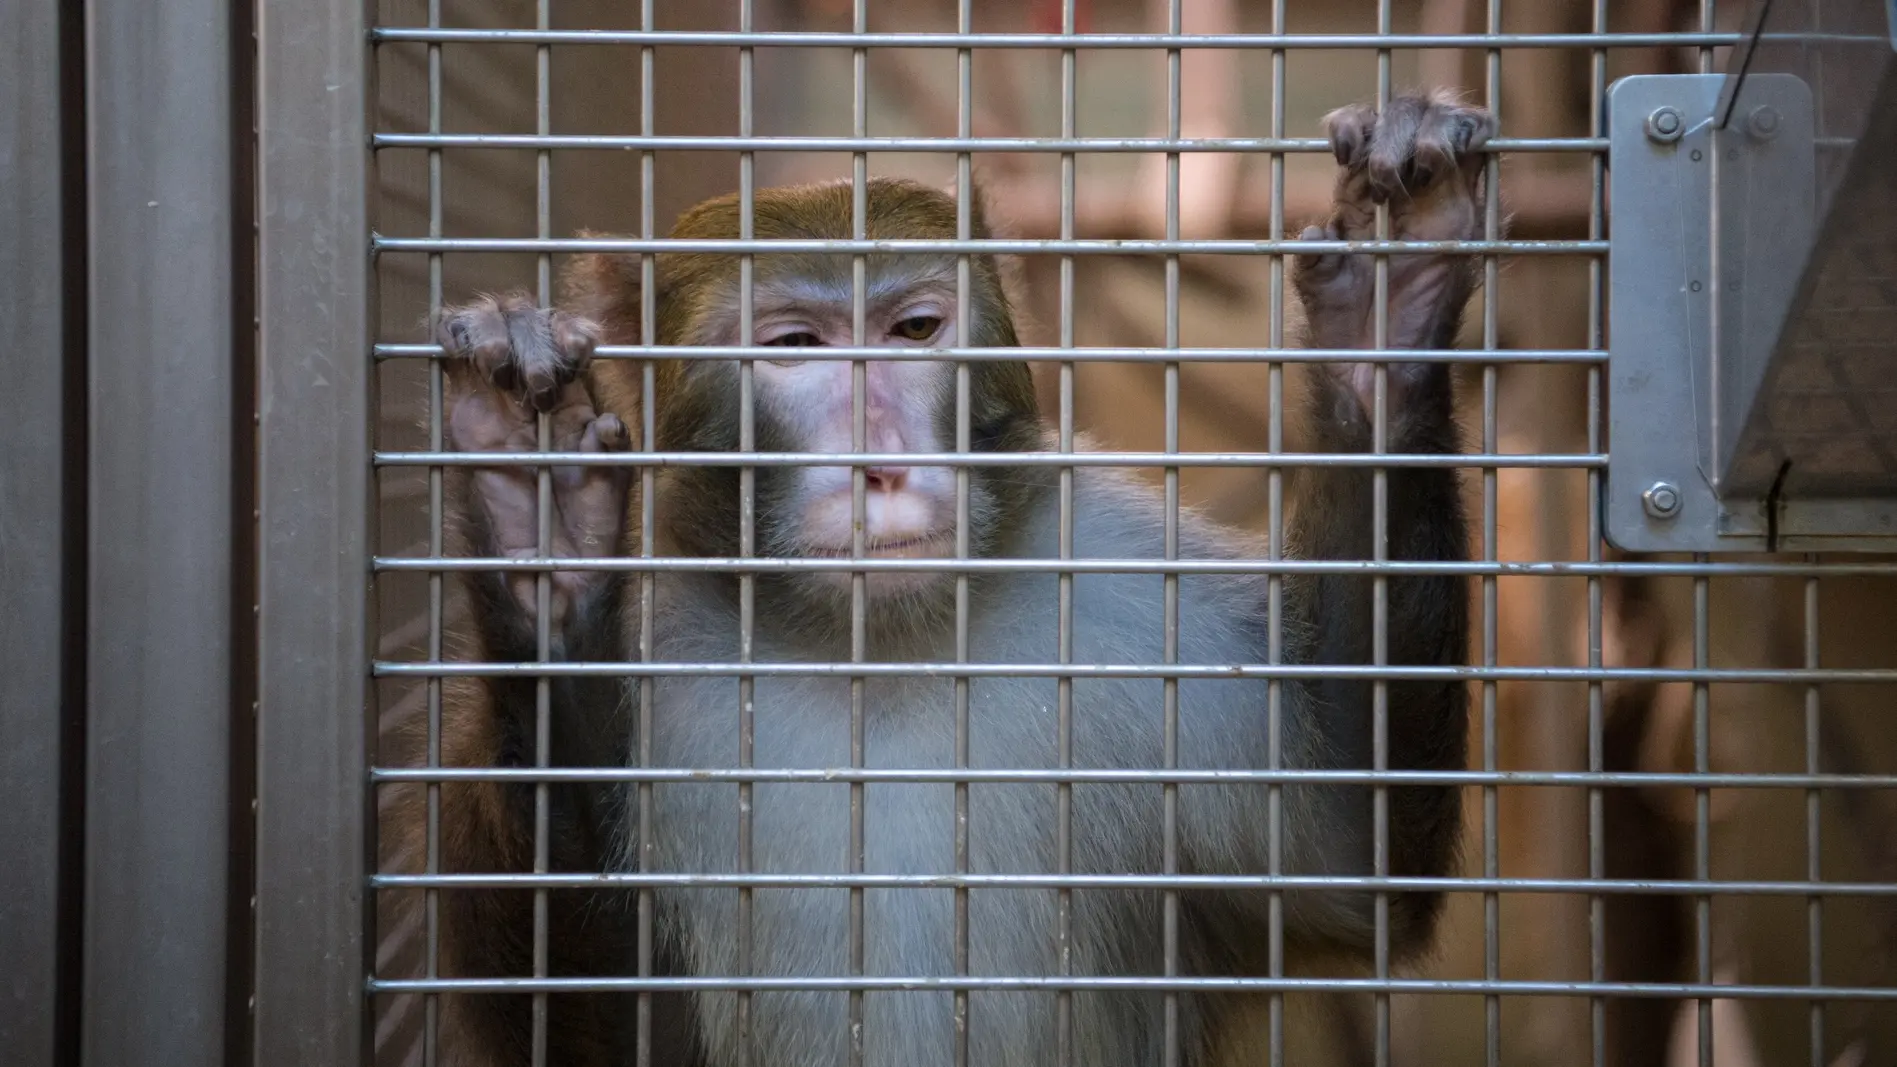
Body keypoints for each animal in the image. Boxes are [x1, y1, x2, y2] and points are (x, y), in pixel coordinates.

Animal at [397, 88, 1492, 1067]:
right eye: (794, 345)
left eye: (913, 329)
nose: (879, 463)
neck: (879, 644)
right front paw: (541, 525)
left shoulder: (1139, 598)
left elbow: (1348, 853)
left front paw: (1385, 313)